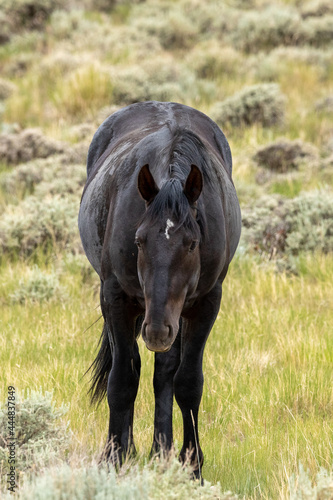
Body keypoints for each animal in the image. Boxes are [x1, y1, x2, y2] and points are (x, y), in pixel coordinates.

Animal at [78, 100, 240, 476]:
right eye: (139, 240)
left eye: (192, 244)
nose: (156, 331)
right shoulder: (116, 298)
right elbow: (123, 379)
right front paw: (114, 459)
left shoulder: (205, 303)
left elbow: (188, 382)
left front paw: (192, 465)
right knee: (135, 367)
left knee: (164, 373)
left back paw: (160, 450)